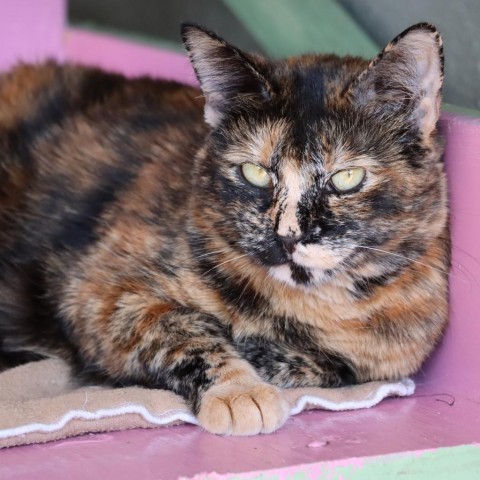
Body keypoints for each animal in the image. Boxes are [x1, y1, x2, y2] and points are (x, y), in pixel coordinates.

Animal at [0, 21, 450, 436]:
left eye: (347, 178)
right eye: (255, 172)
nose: (287, 237)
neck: (306, 305)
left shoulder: (395, 351)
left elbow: (335, 366)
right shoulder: (98, 296)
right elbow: (184, 328)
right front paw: (239, 392)